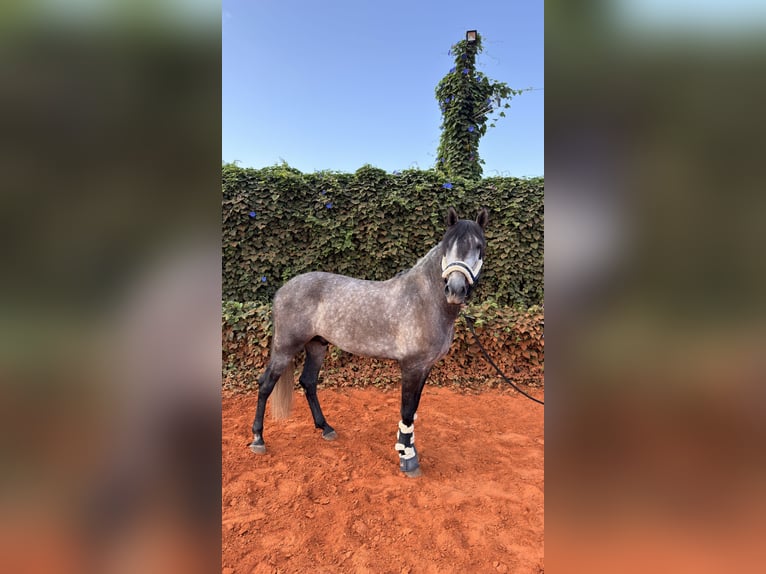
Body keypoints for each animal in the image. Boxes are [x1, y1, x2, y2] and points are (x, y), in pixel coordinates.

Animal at [249, 207, 488, 477]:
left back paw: (326, 428)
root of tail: (283, 289)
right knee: (265, 384)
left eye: (479, 246)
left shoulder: (425, 367)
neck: (423, 300)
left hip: (317, 345)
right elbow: (407, 411)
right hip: (285, 348)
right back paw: (258, 439)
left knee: (308, 382)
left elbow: (413, 409)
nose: (455, 290)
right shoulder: (411, 366)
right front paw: (407, 458)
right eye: (448, 246)